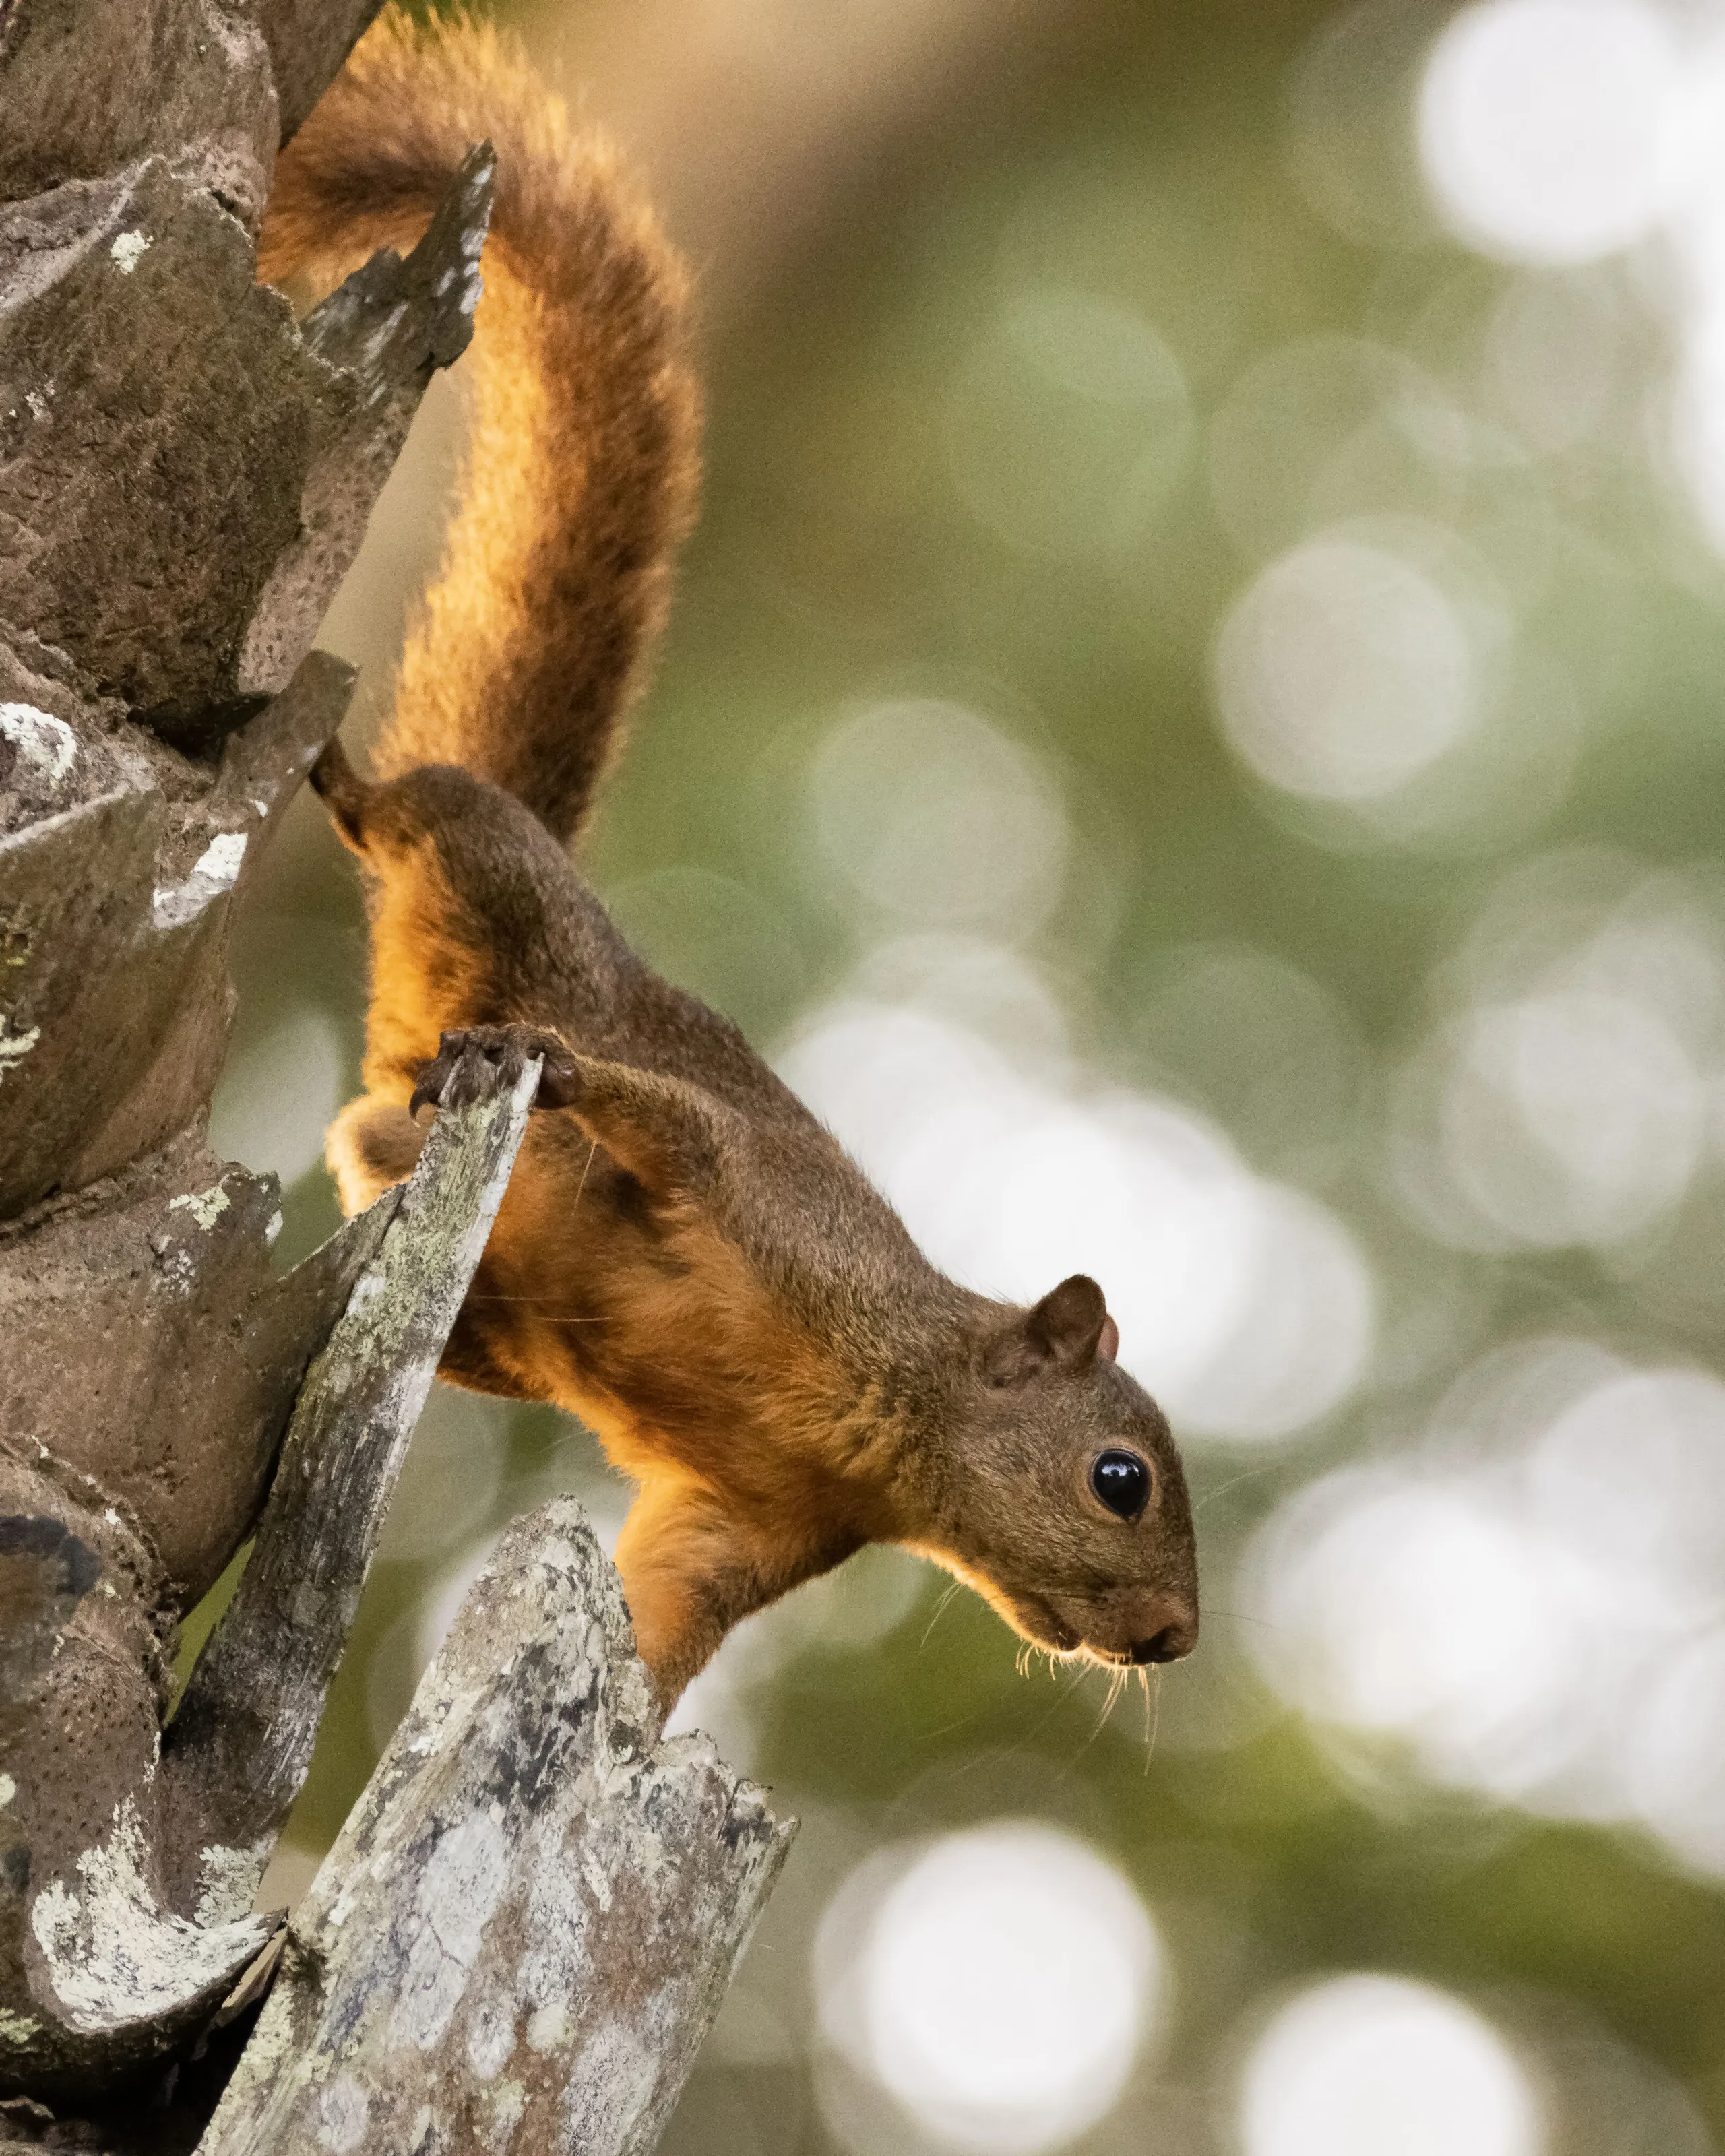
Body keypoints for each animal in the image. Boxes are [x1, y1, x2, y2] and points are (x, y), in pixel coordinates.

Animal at [258, 9, 1199, 1709]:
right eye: (1119, 1478)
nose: (1169, 1637)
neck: (892, 1424)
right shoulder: (773, 1212)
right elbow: (670, 1125)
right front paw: (552, 1069)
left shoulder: (742, 1524)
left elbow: (660, 1619)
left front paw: (615, 1707)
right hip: (494, 874)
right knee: (411, 814)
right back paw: (341, 780)